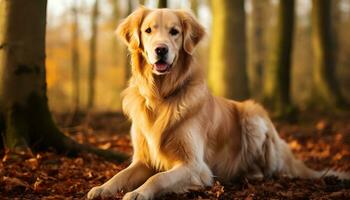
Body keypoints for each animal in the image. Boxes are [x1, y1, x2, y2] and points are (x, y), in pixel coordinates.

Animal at [87, 7, 348, 199]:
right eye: (148, 30)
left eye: (174, 31)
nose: (160, 50)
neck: (161, 95)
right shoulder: (143, 159)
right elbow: (120, 175)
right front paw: (102, 188)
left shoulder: (195, 166)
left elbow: (158, 177)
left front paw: (139, 193)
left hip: (253, 117)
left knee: (273, 171)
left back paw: (252, 175)